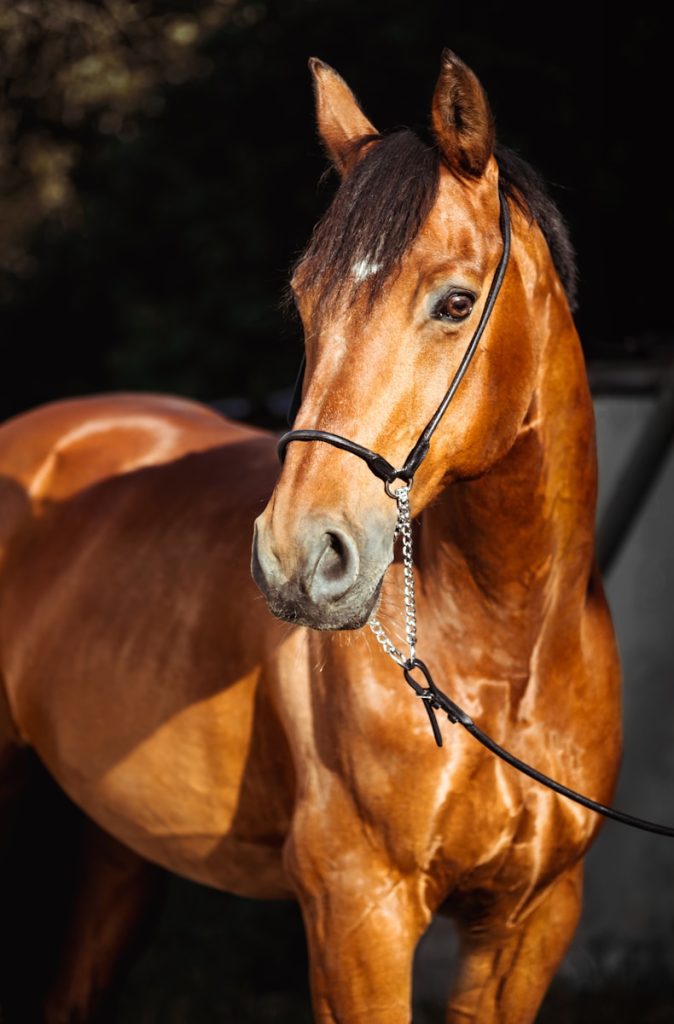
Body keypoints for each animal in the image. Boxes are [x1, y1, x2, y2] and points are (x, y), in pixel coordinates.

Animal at [0, 54, 618, 1024]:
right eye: (304, 301)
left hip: (115, 850)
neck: (505, 657)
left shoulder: (531, 921)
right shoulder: (358, 912)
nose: (296, 558)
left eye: (455, 302)